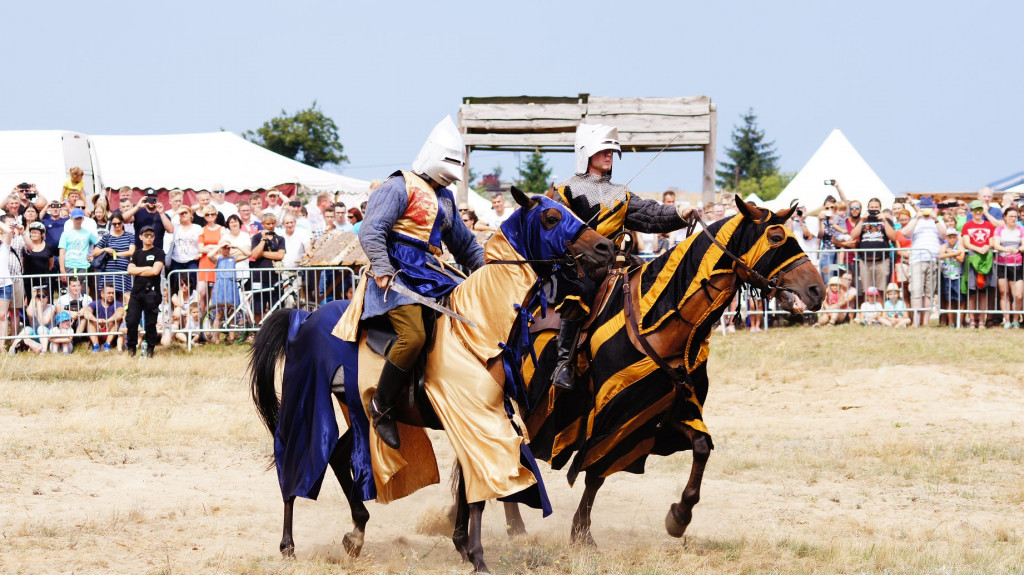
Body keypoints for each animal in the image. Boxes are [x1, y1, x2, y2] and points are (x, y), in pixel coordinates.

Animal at [247, 187, 614, 568]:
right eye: (552, 218)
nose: (606, 247)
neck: (477, 329)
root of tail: (302, 318)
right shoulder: (476, 420)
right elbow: (479, 488)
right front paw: (478, 557)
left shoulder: (478, 420)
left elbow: (469, 486)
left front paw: (463, 545)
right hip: (305, 404)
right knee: (295, 462)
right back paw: (288, 544)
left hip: (357, 410)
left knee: (335, 454)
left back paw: (356, 533)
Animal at [499, 194, 827, 544]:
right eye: (776, 238)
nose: (817, 291)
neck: (661, 318)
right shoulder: (616, 412)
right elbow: (596, 471)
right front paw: (581, 532)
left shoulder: (673, 406)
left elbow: (701, 448)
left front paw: (679, 517)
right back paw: (510, 521)